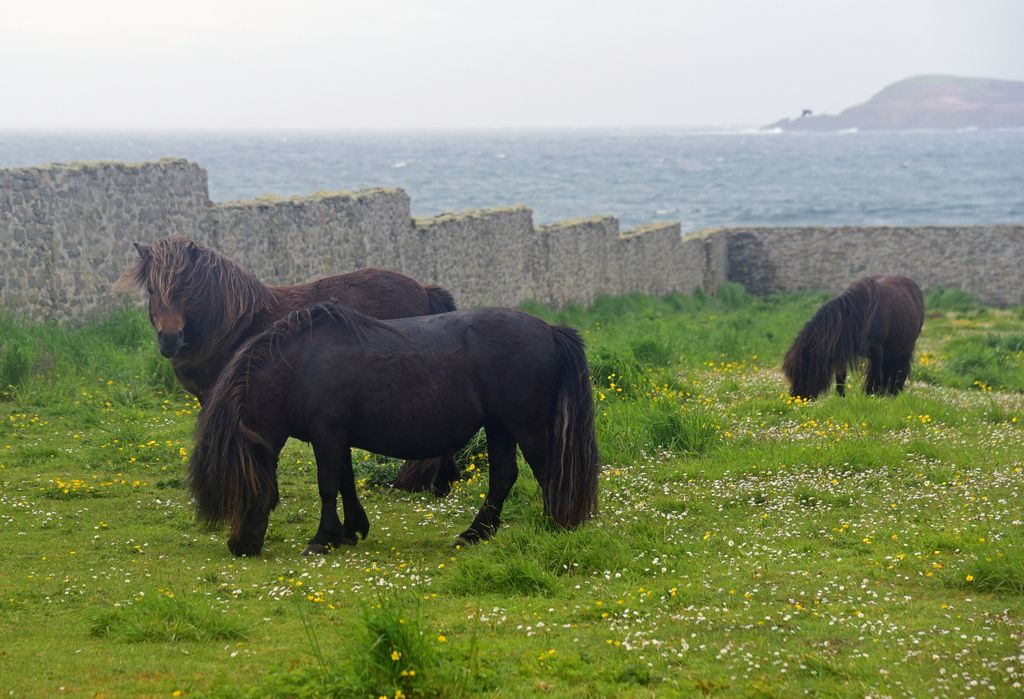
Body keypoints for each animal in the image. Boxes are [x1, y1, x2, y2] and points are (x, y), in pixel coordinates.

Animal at [186, 302, 598, 556]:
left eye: (241, 488)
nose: (240, 546)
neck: (299, 364)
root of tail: (548, 330)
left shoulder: (326, 434)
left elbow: (328, 486)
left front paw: (322, 540)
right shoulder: (337, 437)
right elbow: (345, 482)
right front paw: (350, 531)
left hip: (524, 427)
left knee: (545, 472)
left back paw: (554, 525)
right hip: (499, 428)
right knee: (504, 476)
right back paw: (473, 534)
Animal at [782, 274, 929, 399]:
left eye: (803, 368)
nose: (795, 397)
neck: (857, 315)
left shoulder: (876, 349)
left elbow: (876, 374)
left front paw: (871, 396)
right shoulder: (840, 351)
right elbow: (841, 376)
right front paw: (841, 397)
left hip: (907, 347)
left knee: (900, 370)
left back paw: (893, 393)